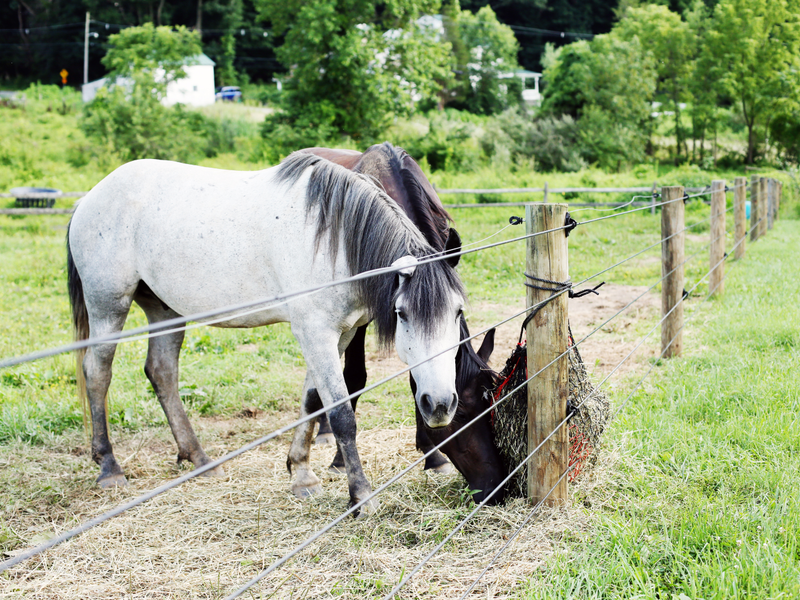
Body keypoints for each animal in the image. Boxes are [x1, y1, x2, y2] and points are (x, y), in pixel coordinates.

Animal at [69, 154, 468, 510]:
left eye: (457, 311)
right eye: (401, 313)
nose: (440, 405)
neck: (334, 239)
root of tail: (89, 197)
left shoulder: (338, 335)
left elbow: (312, 401)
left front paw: (301, 474)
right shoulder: (315, 332)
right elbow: (341, 414)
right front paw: (361, 496)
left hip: (164, 309)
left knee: (162, 372)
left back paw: (199, 460)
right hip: (108, 306)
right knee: (98, 373)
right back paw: (109, 468)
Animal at [300, 143, 506, 504]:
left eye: (489, 403)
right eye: (460, 414)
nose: (495, 485)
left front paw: (432, 457)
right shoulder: (360, 320)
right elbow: (355, 378)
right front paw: (340, 461)